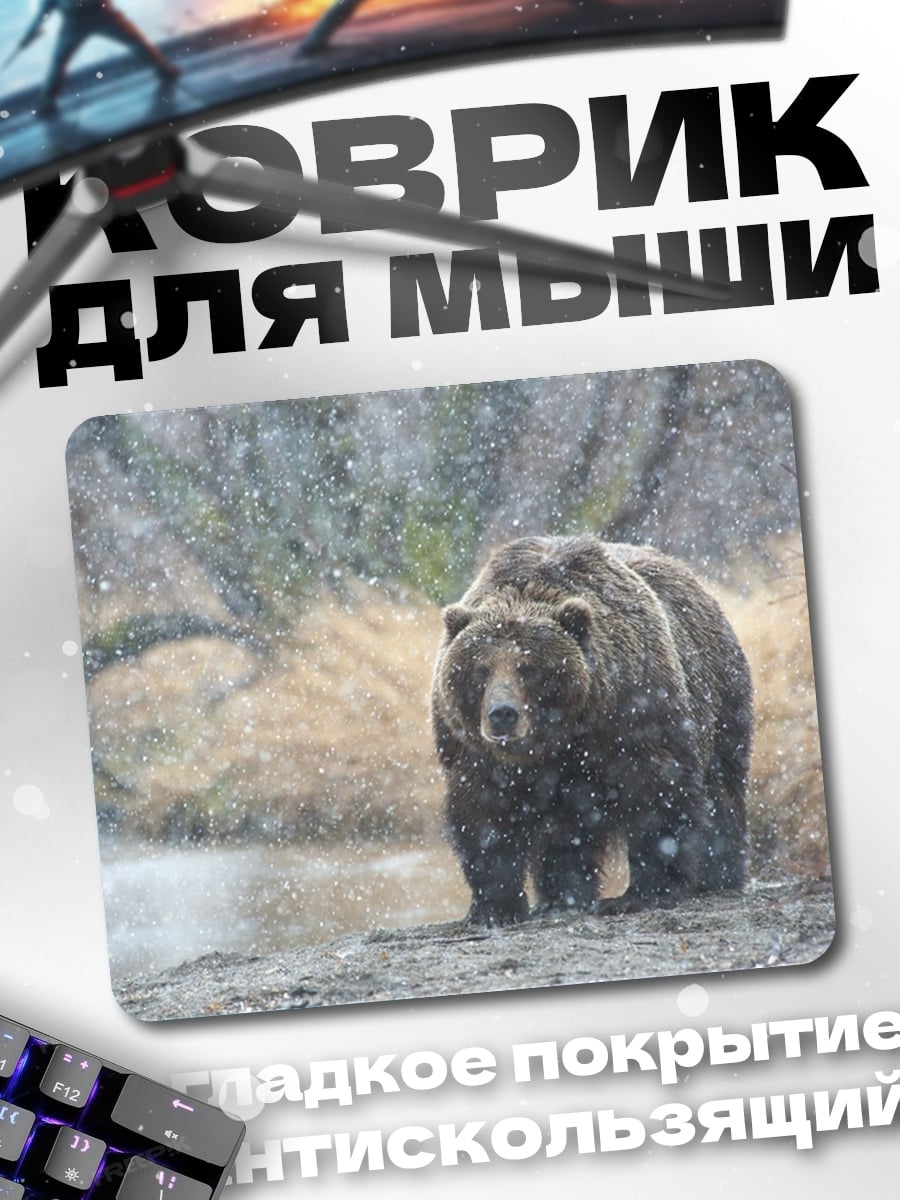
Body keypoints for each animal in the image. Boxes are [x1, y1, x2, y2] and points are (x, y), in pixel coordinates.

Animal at [431, 534, 752, 926]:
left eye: (529, 667)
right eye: (480, 669)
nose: (502, 714)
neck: (560, 737)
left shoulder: (634, 712)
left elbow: (656, 793)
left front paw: (642, 893)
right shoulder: (474, 752)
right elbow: (484, 814)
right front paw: (494, 908)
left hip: (721, 696)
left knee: (721, 788)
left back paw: (719, 875)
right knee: (568, 829)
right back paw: (560, 897)